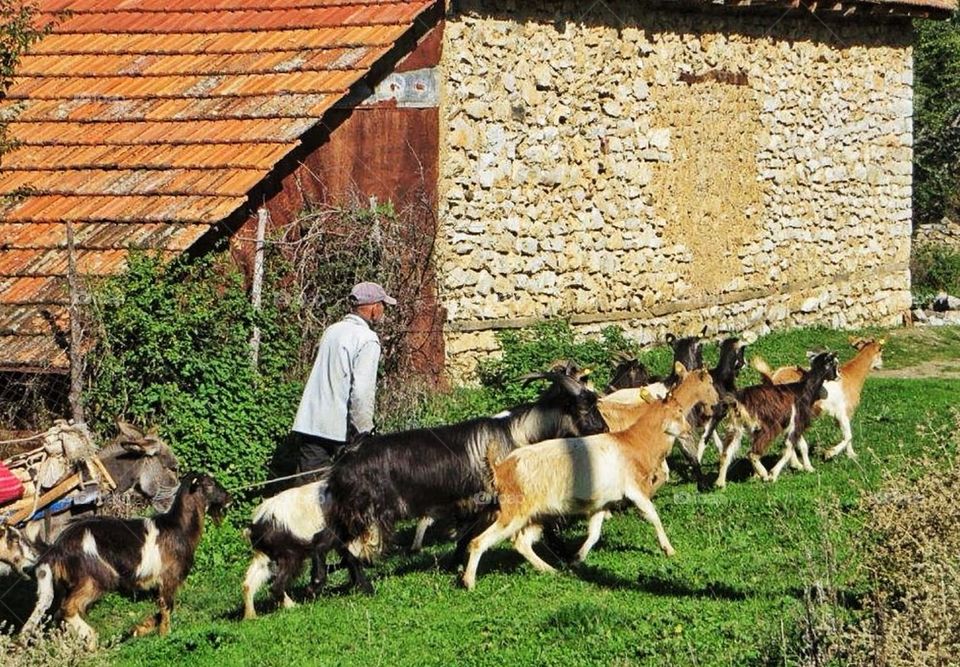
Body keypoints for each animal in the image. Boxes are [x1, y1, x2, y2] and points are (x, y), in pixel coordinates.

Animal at [20, 472, 231, 644]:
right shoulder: (169, 577)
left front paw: (139, 629)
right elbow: (167, 608)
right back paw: (91, 639)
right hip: (95, 576)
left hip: (70, 583)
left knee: (59, 613)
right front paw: (164, 635)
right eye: (209, 483)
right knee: (68, 608)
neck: (178, 528)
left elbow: (159, 608)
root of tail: (57, 547)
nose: (230, 498)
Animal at [312, 376, 604, 596]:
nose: (604, 429)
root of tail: (344, 458)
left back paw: (323, 583)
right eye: (586, 408)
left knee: (325, 540)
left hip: (349, 511)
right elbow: (546, 529)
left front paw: (455, 567)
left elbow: (465, 538)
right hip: (364, 511)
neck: (515, 434)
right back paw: (358, 585)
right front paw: (568, 558)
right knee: (343, 547)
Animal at [460, 368, 720, 592]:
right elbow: (652, 515)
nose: (689, 430)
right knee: (479, 541)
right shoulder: (634, 490)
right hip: (514, 513)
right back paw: (469, 582)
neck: (631, 442)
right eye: (678, 412)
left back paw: (549, 569)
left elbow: (594, 532)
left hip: (534, 514)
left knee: (521, 542)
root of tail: (502, 467)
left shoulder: (602, 502)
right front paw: (669, 549)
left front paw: (577, 559)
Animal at [712, 352, 840, 488]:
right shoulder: (796, 422)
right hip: (768, 427)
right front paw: (773, 474)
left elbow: (802, 446)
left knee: (726, 453)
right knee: (752, 453)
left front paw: (809, 468)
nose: (839, 376)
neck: (803, 389)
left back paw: (720, 483)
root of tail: (739, 400)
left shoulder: (794, 425)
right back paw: (764, 474)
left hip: (735, 426)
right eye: (834, 364)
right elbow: (788, 449)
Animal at [752, 336, 884, 462]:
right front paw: (830, 453)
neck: (851, 376)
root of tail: (773, 378)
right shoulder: (842, 412)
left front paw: (851, 455)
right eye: (881, 351)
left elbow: (847, 435)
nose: (881, 365)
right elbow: (849, 436)